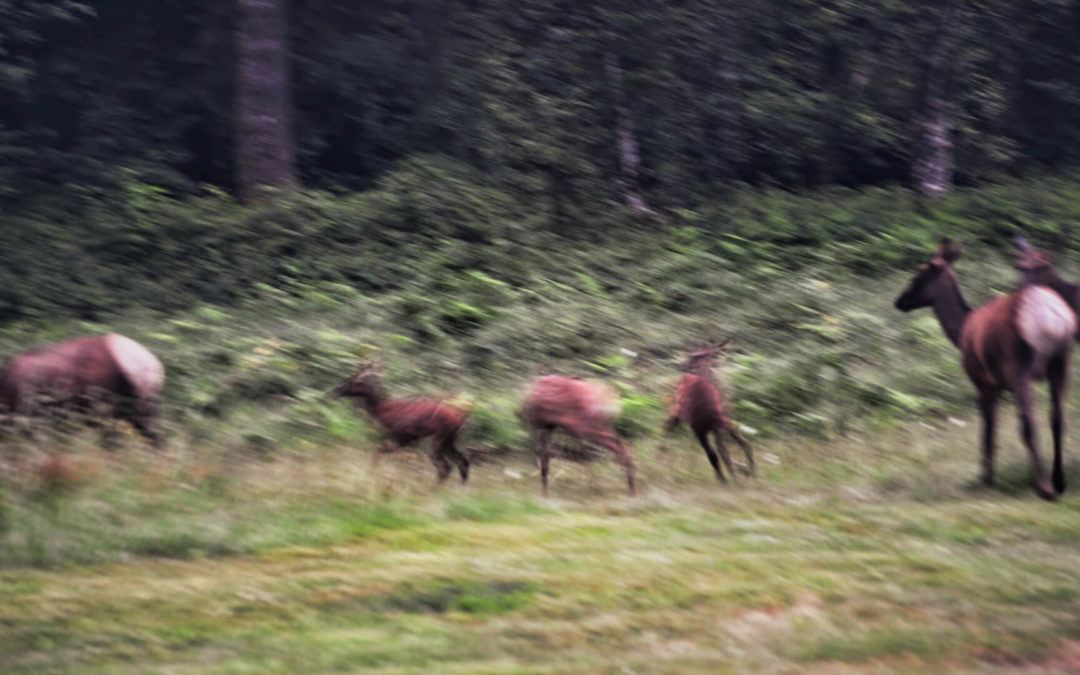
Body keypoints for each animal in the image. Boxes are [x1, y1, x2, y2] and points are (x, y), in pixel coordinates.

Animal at [330, 362, 470, 483]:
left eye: (356, 382)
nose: (335, 390)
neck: (384, 410)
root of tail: (460, 421)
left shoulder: (404, 436)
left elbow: (380, 451)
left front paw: (373, 473)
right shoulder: (406, 438)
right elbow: (381, 451)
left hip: (438, 439)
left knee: (445, 467)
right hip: (448, 441)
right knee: (462, 461)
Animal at [660, 341, 756, 479]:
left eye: (697, 355)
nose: (686, 362)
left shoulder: (709, 427)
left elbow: (723, 453)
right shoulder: (709, 427)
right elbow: (721, 453)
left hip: (705, 426)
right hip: (698, 424)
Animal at [889, 239, 1075, 496]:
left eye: (919, 274)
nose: (900, 301)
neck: (961, 331)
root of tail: (1050, 318)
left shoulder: (982, 381)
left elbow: (988, 432)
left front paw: (985, 480)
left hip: (1020, 364)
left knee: (1029, 423)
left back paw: (1043, 485)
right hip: (1061, 361)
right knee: (1057, 418)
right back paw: (1058, 481)